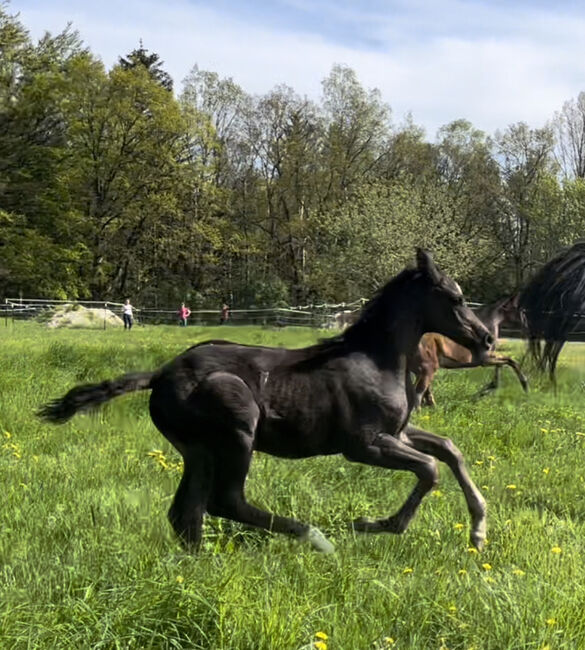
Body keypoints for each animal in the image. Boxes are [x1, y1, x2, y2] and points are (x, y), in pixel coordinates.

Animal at [37, 251, 492, 548]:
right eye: (455, 298)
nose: (486, 338)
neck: (375, 359)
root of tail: (160, 374)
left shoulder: (398, 432)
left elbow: (449, 450)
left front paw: (478, 530)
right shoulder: (364, 445)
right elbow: (430, 468)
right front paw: (372, 524)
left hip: (198, 449)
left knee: (187, 513)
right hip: (238, 429)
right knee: (225, 501)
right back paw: (316, 538)